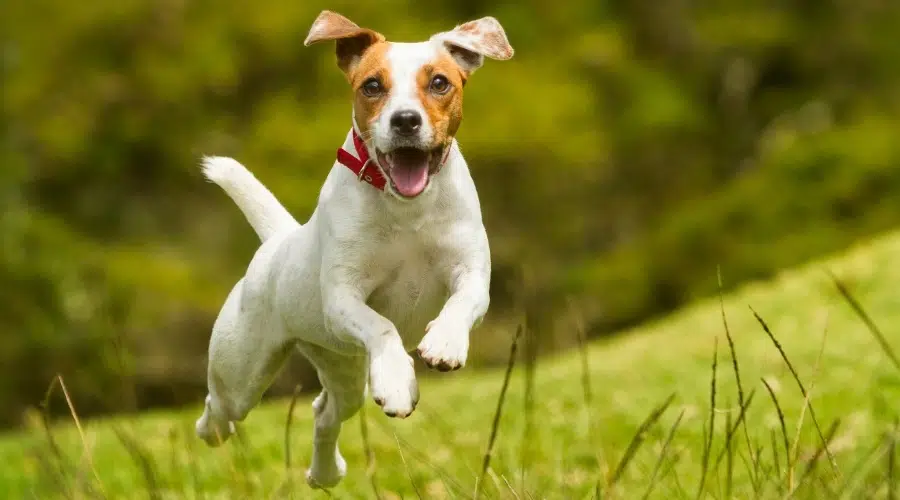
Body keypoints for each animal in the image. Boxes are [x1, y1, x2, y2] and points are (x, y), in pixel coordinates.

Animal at [192, 10, 512, 488]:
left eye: (439, 82)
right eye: (372, 86)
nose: (405, 120)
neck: (406, 209)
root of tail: (278, 241)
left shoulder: (472, 273)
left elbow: (462, 302)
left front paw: (444, 343)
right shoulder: (343, 298)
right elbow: (382, 326)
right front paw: (397, 380)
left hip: (342, 368)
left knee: (324, 412)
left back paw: (325, 473)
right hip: (242, 370)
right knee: (220, 409)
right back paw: (212, 430)